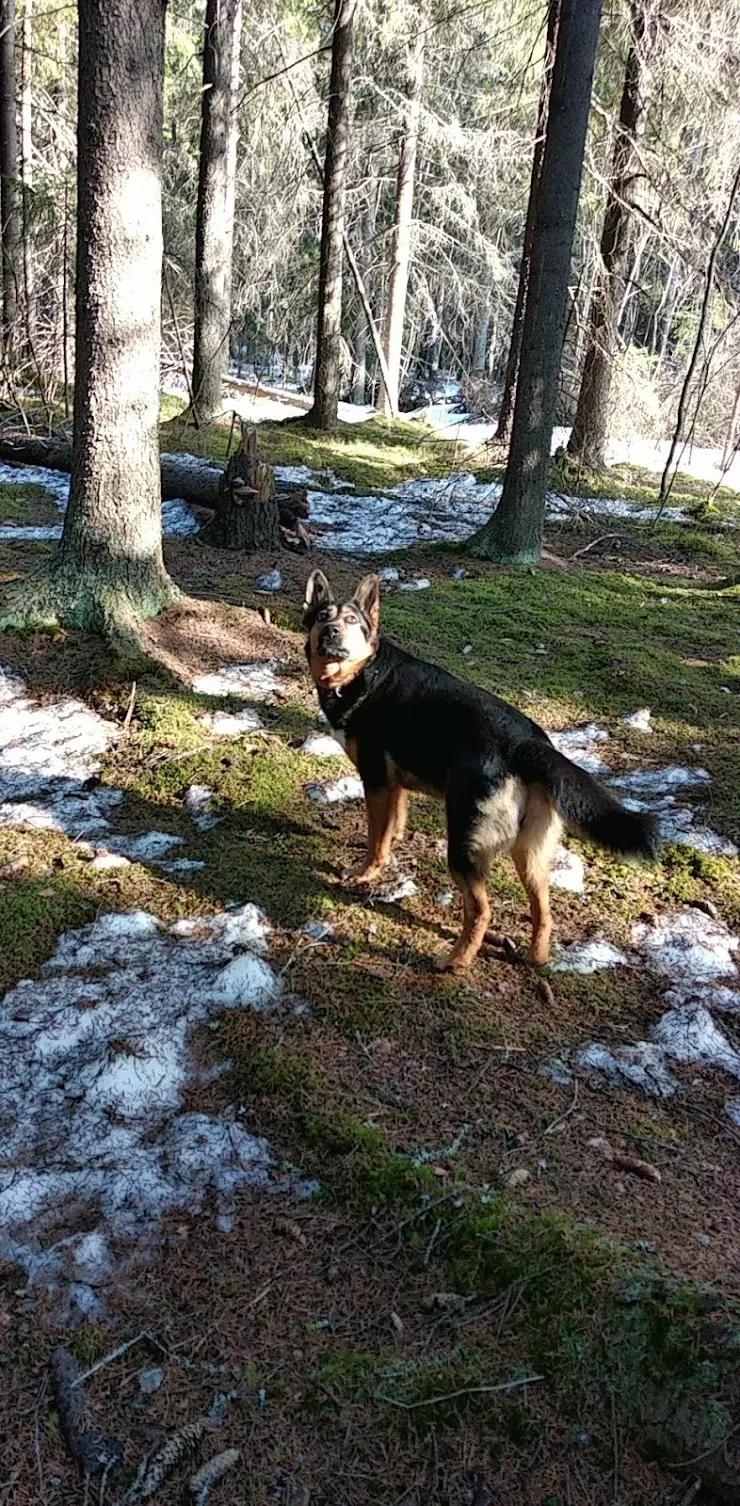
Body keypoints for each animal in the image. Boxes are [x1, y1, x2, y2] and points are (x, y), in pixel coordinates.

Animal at [304, 569, 663, 969]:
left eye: (352, 621)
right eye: (322, 616)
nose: (332, 632)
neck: (361, 674)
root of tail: (526, 744)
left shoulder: (377, 782)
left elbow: (376, 841)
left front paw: (365, 873)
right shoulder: (396, 788)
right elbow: (392, 830)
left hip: (464, 846)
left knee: (481, 910)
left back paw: (456, 961)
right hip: (531, 856)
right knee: (543, 910)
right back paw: (535, 957)